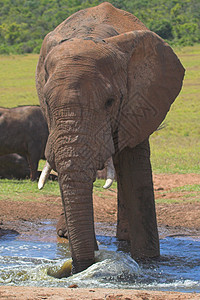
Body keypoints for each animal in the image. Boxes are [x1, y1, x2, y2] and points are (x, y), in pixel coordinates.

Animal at [36, 2, 184, 274]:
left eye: (110, 102)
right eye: (48, 103)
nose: (76, 268)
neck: (93, 35)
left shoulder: (140, 100)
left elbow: (136, 171)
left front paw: (148, 261)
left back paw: (122, 240)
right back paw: (66, 235)